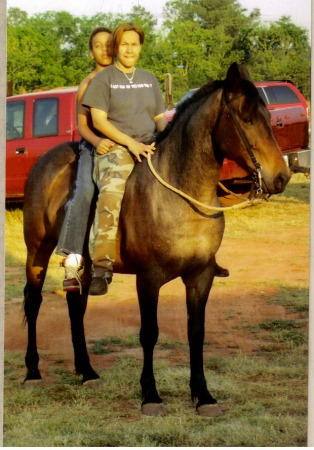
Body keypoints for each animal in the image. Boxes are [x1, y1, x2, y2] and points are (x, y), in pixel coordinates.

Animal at [23, 61, 290, 416]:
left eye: (268, 117)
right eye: (246, 117)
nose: (281, 177)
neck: (180, 195)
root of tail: (43, 162)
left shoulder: (201, 275)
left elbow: (196, 331)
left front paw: (203, 395)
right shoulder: (148, 279)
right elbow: (149, 333)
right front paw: (150, 394)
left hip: (84, 264)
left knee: (75, 305)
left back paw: (87, 371)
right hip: (36, 251)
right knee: (34, 300)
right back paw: (32, 371)